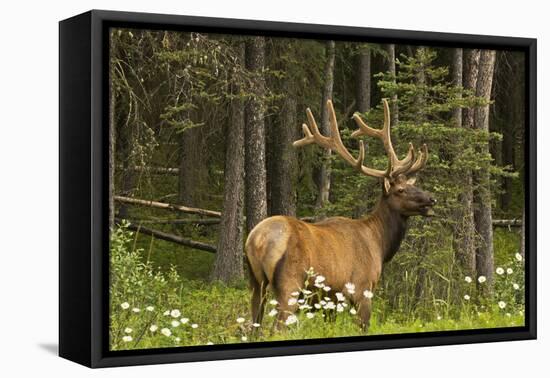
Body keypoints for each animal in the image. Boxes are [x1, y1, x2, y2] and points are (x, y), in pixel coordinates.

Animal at [248, 98, 438, 330]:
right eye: (400, 190)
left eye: (412, 185)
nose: (431, 199)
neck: (379, 244)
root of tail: (257, 240)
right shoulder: (362, 288)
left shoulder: (331, 300)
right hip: (290, 285)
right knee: (277, 327)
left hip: (256, 284)